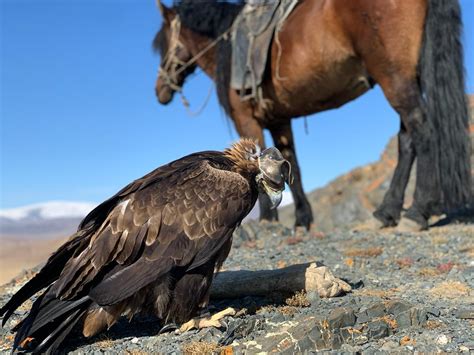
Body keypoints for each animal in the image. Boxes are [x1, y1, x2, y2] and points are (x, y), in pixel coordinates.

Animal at [155, 0, 470, 232]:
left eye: (162, 44)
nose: (160, 90)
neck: (229, 45)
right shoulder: (280, 120)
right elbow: (289, 162)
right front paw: (302, 219)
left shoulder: (247, 120)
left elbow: (257, 164)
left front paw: (268, 221)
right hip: (406, 78)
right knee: (407, 139)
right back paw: (387, 211)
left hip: (394, 78)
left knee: (422, 131)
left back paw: (417, 212)